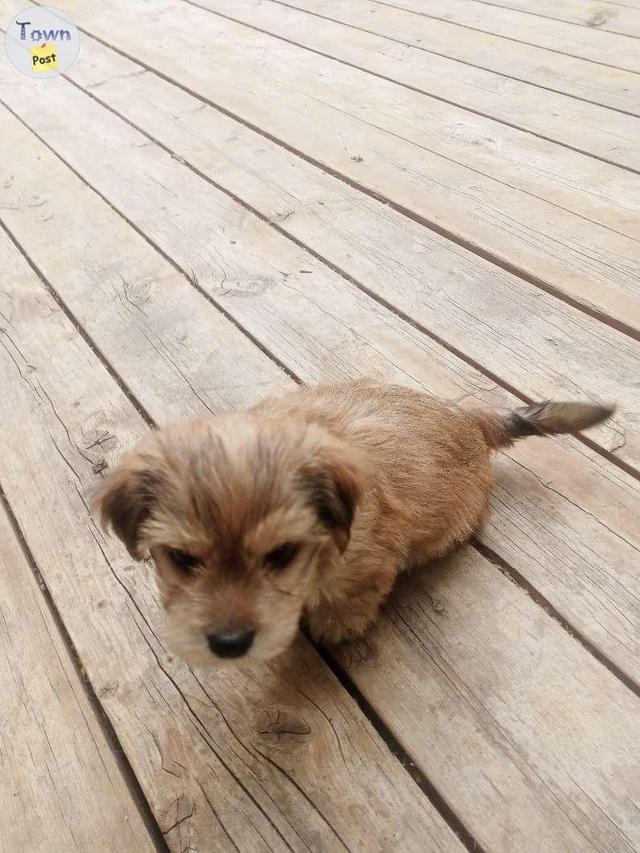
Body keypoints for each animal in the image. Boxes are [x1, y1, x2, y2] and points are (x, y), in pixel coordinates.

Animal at [94, 380, 608, 664]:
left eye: (282, 555)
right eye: (182, 559)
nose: (229, 643)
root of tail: (468, 416)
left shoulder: (367, 560)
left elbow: (351, 596)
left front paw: (336, 624)